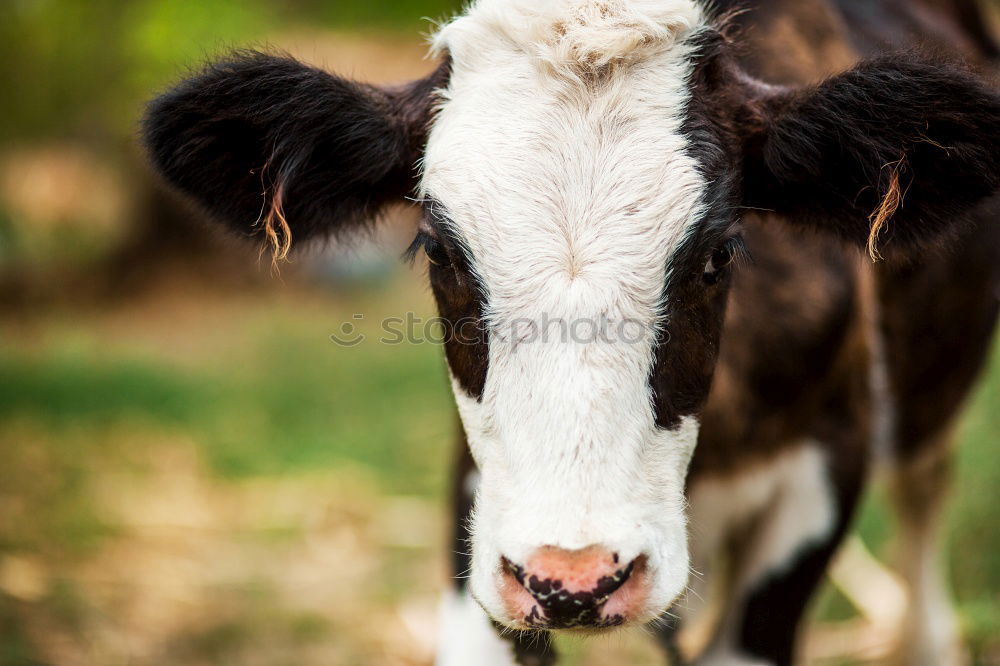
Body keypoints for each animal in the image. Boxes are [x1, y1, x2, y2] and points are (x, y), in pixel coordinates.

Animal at [143, 1, 1000, 664]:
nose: (576, 580)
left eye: (719, 254)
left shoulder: (833, 454)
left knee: (925, 487)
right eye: (440, 250)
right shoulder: (483, 511)